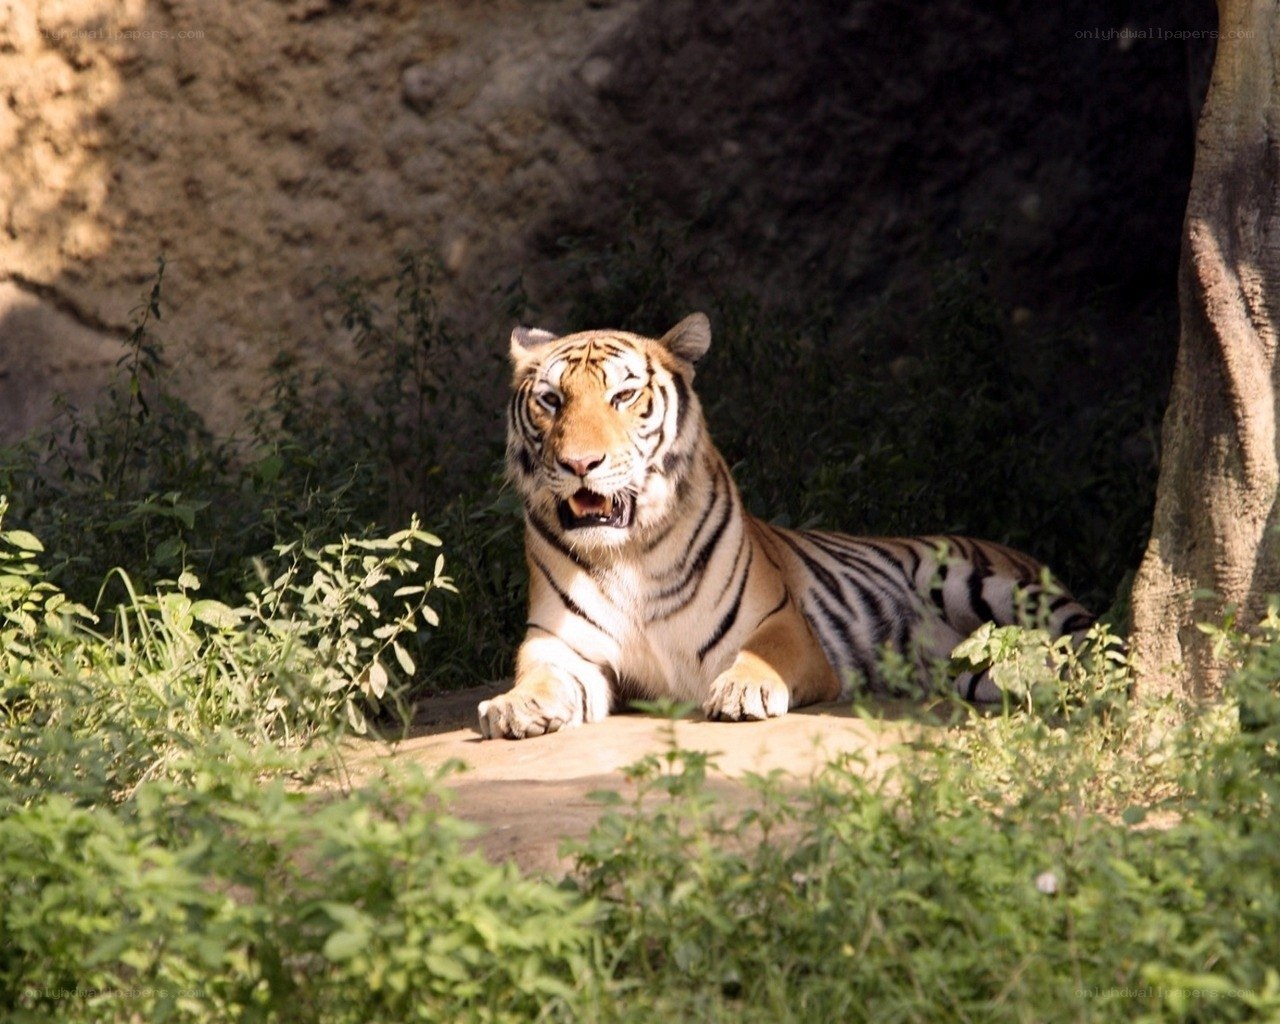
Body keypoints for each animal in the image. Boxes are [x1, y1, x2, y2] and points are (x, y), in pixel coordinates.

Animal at [477, 312, 1094, 740]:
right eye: (551, 400)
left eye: (623, 395)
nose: (580, 463)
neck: (628, 550)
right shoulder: (560, 643)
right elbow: (540, 674)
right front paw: (515, 705)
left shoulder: (779, 619)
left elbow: (763, 653)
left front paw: (743, 688)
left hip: (973, 581)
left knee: (1088, 643)